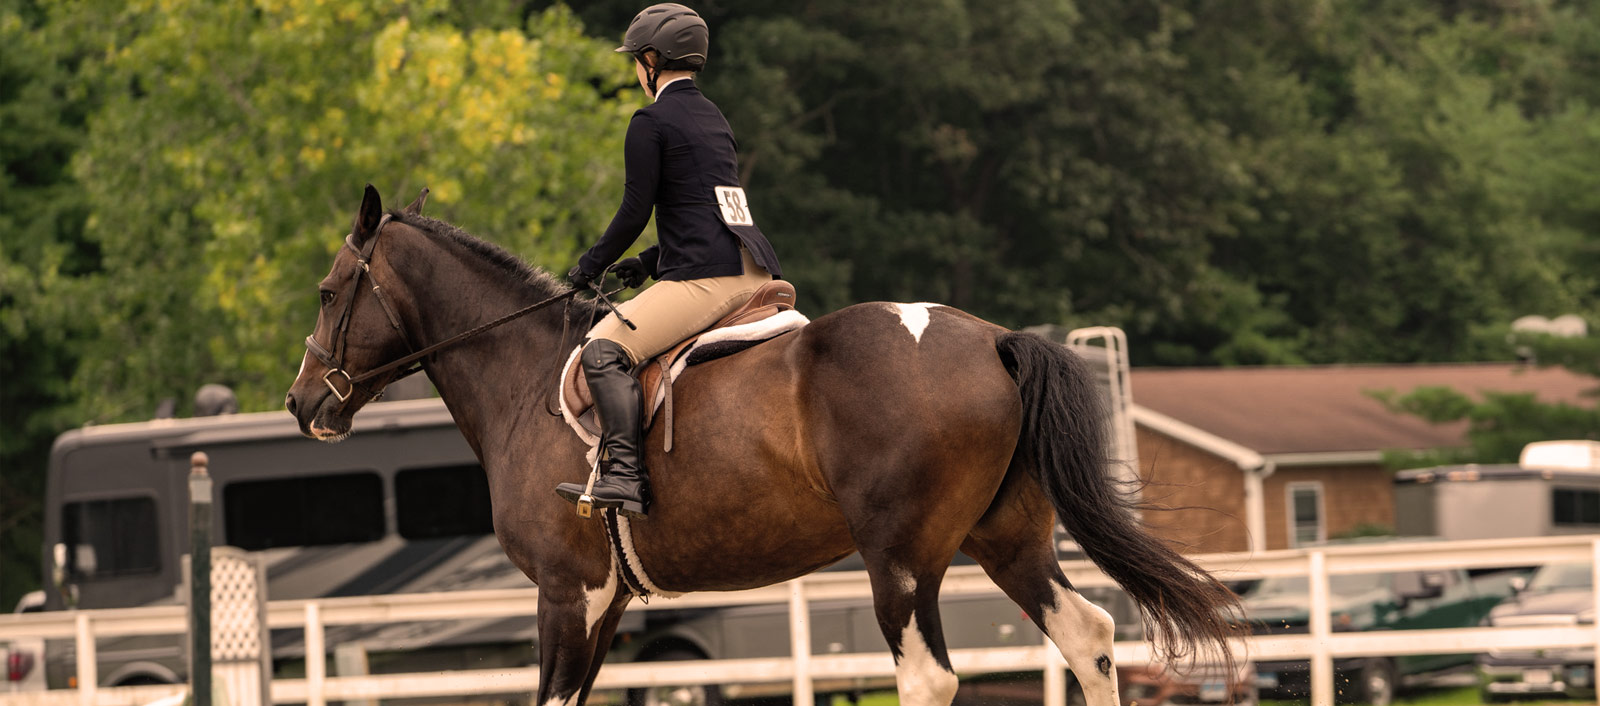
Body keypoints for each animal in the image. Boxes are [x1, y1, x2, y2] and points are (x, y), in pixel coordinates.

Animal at [284, 185, 1240, 706]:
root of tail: (995, 339)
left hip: (902, 557)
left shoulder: (568, 593)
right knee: (1088, 636)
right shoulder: (607, 602)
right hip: (1006, 540)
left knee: (928, 676)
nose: (302, 403)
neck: (521, 375)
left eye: (330, 291)